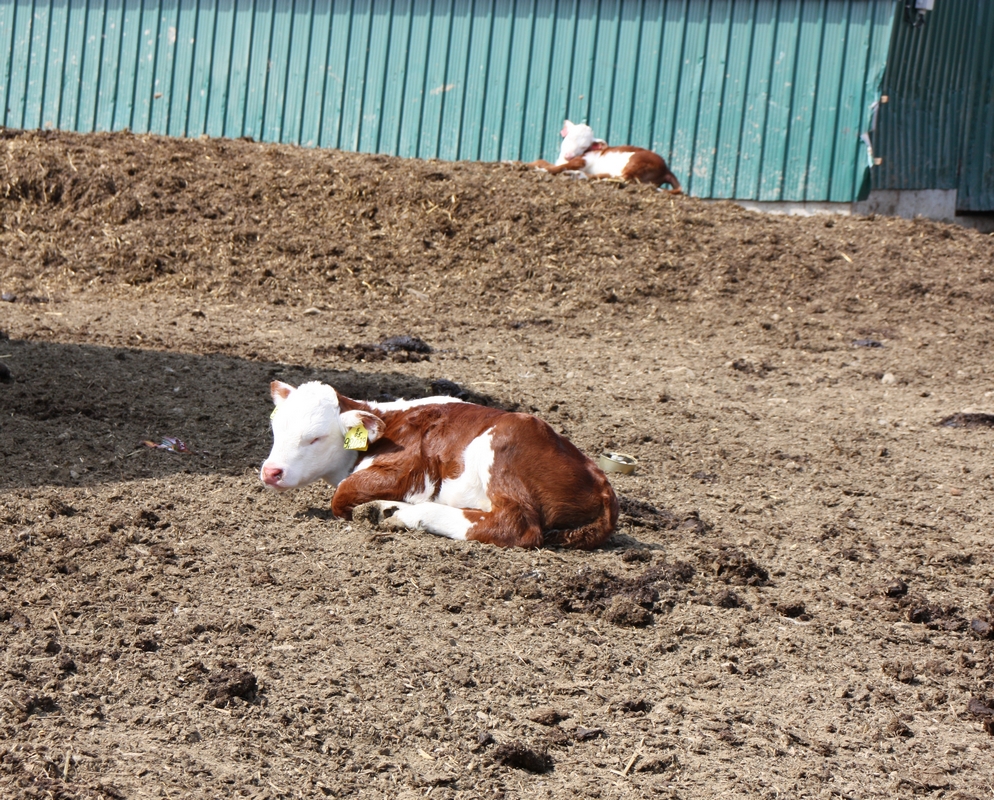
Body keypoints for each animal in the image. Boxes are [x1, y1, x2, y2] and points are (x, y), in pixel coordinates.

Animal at [260, 382, 616, 552]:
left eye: (315, 438)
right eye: (276, 429)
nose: (270, 472)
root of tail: (601, 482)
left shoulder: (409, 470)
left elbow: (343, 494)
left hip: (504, 445)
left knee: (515, 526)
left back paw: (404, 514)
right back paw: (387, 510)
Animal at [528, 122, 680, 194]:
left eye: (585, 146)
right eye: (569, 138)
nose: (569, 155)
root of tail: (666, 169)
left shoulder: (584, 159)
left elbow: (557, 167)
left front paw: (541, 170)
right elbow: (543, 161)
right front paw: (528, 164)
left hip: (636, 162)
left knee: (623, 178)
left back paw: (578, 175)